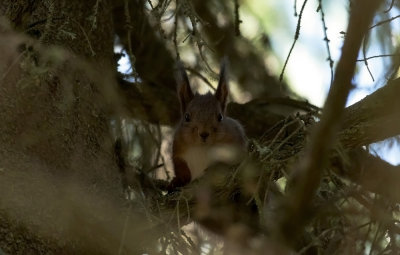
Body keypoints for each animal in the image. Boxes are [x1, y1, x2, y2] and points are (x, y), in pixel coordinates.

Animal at [168, 60, 247, 191]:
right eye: (187, 117)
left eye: (220, 117)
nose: (204, 134)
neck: (203, 148)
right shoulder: (179, 148)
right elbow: (180, 167)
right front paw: (177, 181)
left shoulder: (237, 140)